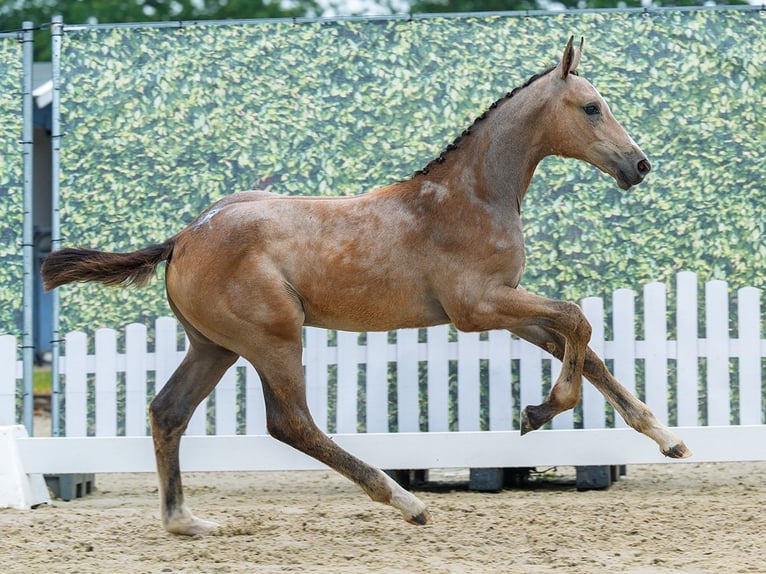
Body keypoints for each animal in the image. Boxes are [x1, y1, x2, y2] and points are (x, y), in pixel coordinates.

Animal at [42, 37, 691, 536]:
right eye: (591, 107)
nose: (639, 166)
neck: (472, 195)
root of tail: (183, 236)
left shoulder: (508, 302)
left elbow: (581, 344)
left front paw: (667, 439)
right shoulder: (478, 307)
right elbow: (578, 319)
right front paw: (536, 413)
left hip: (215, 345)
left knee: (168, 411)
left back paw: (186, 522)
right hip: (273, 337)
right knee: (291, 423)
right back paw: (406, 502)